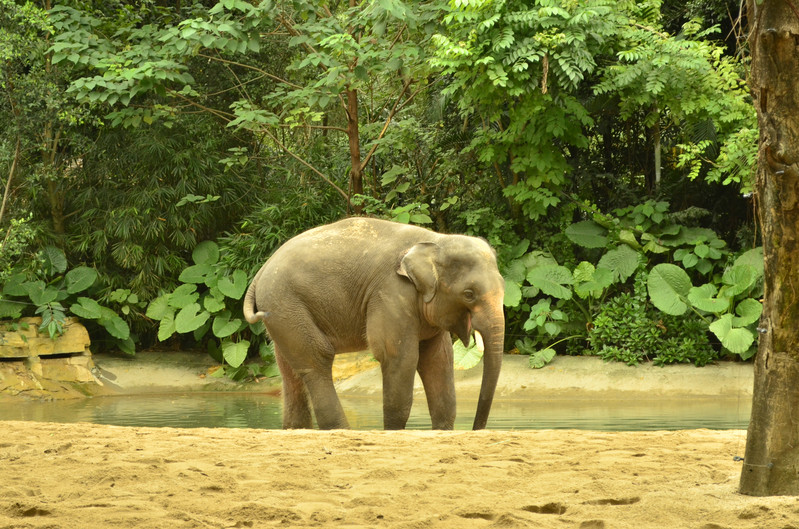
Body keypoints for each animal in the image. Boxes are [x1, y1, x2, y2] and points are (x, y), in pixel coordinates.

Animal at [244, 217, 506, 426]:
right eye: (469, 294)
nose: (475, 429)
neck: (436, 240)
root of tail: (260, 272)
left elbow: (439, 360)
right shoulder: (390, 292)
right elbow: (399, 357)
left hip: (281, 313)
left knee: (290, 371)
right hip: (286, 304)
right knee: (317, 361)